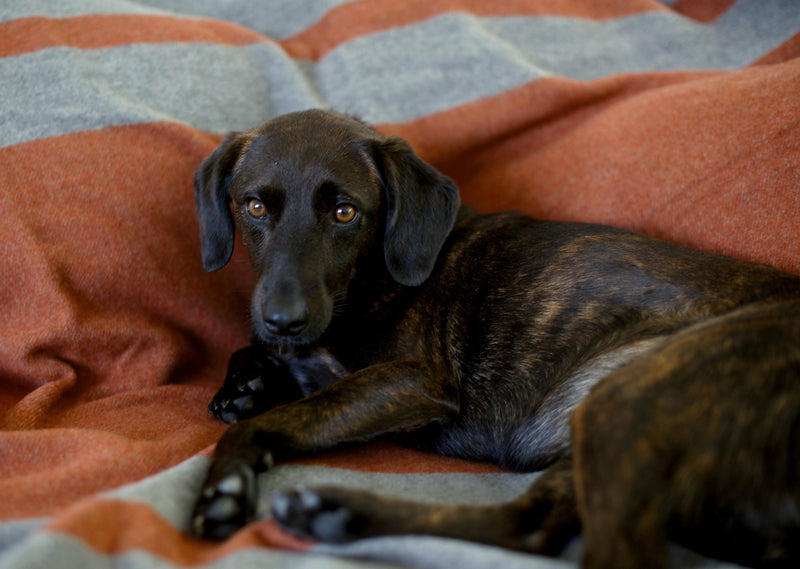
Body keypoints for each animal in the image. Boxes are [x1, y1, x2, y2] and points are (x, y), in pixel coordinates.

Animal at [192, 108, 800, 564]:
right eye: (254, 206)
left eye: (345, 212)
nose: (283, 318)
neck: (362, 287)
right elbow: (257, 357)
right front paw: (245, 383)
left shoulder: (411, 381)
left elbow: (277, 419)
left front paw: (225, 486)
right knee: (530, 526)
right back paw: (340, 515)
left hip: (629, 400)